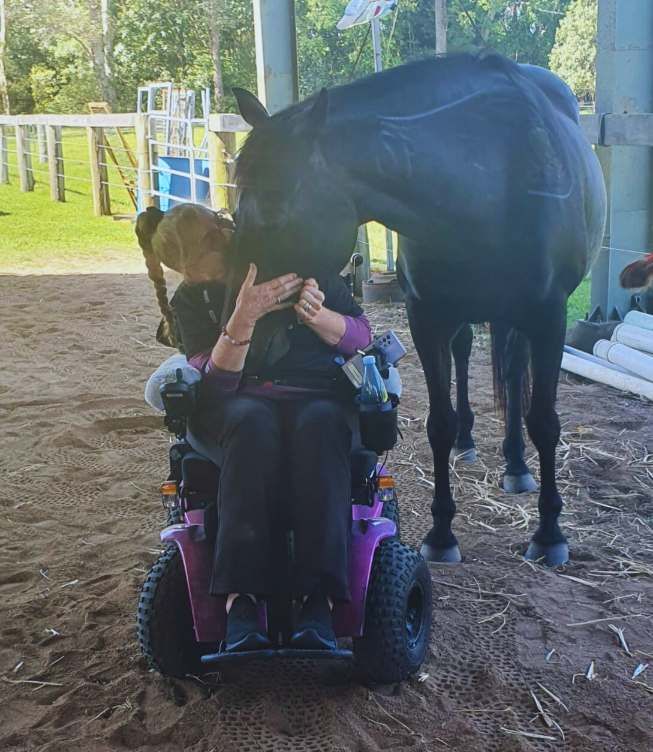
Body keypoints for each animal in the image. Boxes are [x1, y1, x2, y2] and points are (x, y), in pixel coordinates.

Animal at [228, 52, 607, 566]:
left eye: (275, 214)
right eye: (236, 211)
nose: (248, 341)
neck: (486, 177)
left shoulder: (550, 319)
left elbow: (545, 422)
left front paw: (550, 534)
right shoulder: (426, 319)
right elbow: (439, 424)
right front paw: (442, 533)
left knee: (513, 373)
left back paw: (516, 465)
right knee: (470, 357)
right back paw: (476, 446)